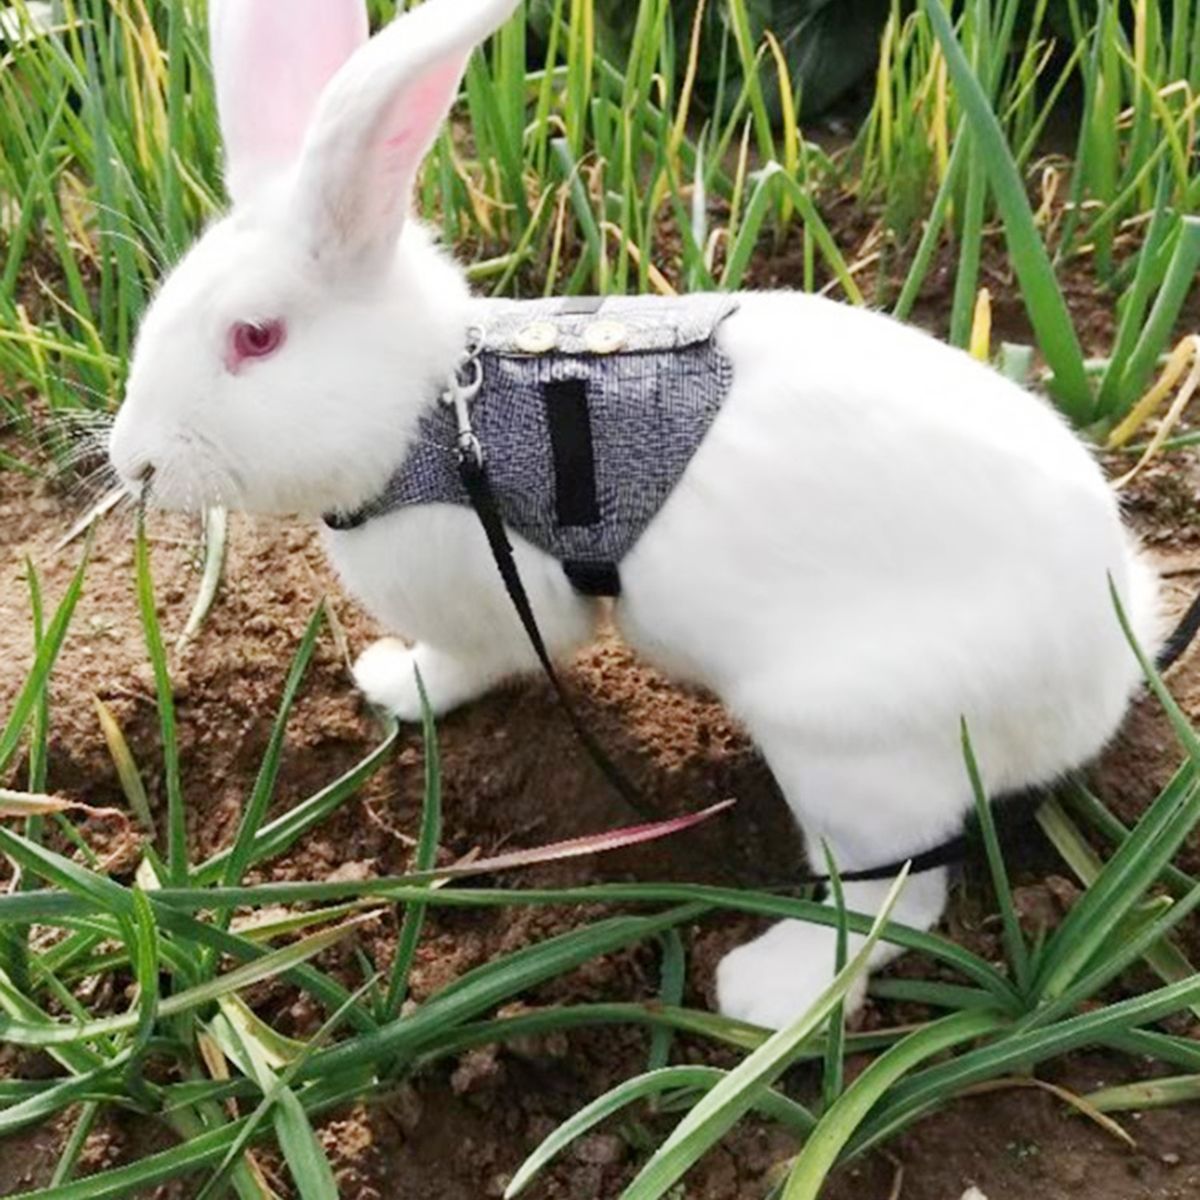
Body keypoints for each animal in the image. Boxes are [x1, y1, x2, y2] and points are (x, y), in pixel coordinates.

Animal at [108, 0, 1164, 1030]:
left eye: (255, 338)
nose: (133, 459)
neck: (431, 408)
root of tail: (1107, 670)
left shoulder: (499, 602)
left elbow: (467, 663)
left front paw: (395, 685)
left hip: (849, 750)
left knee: (890, 898)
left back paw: (765, 992)